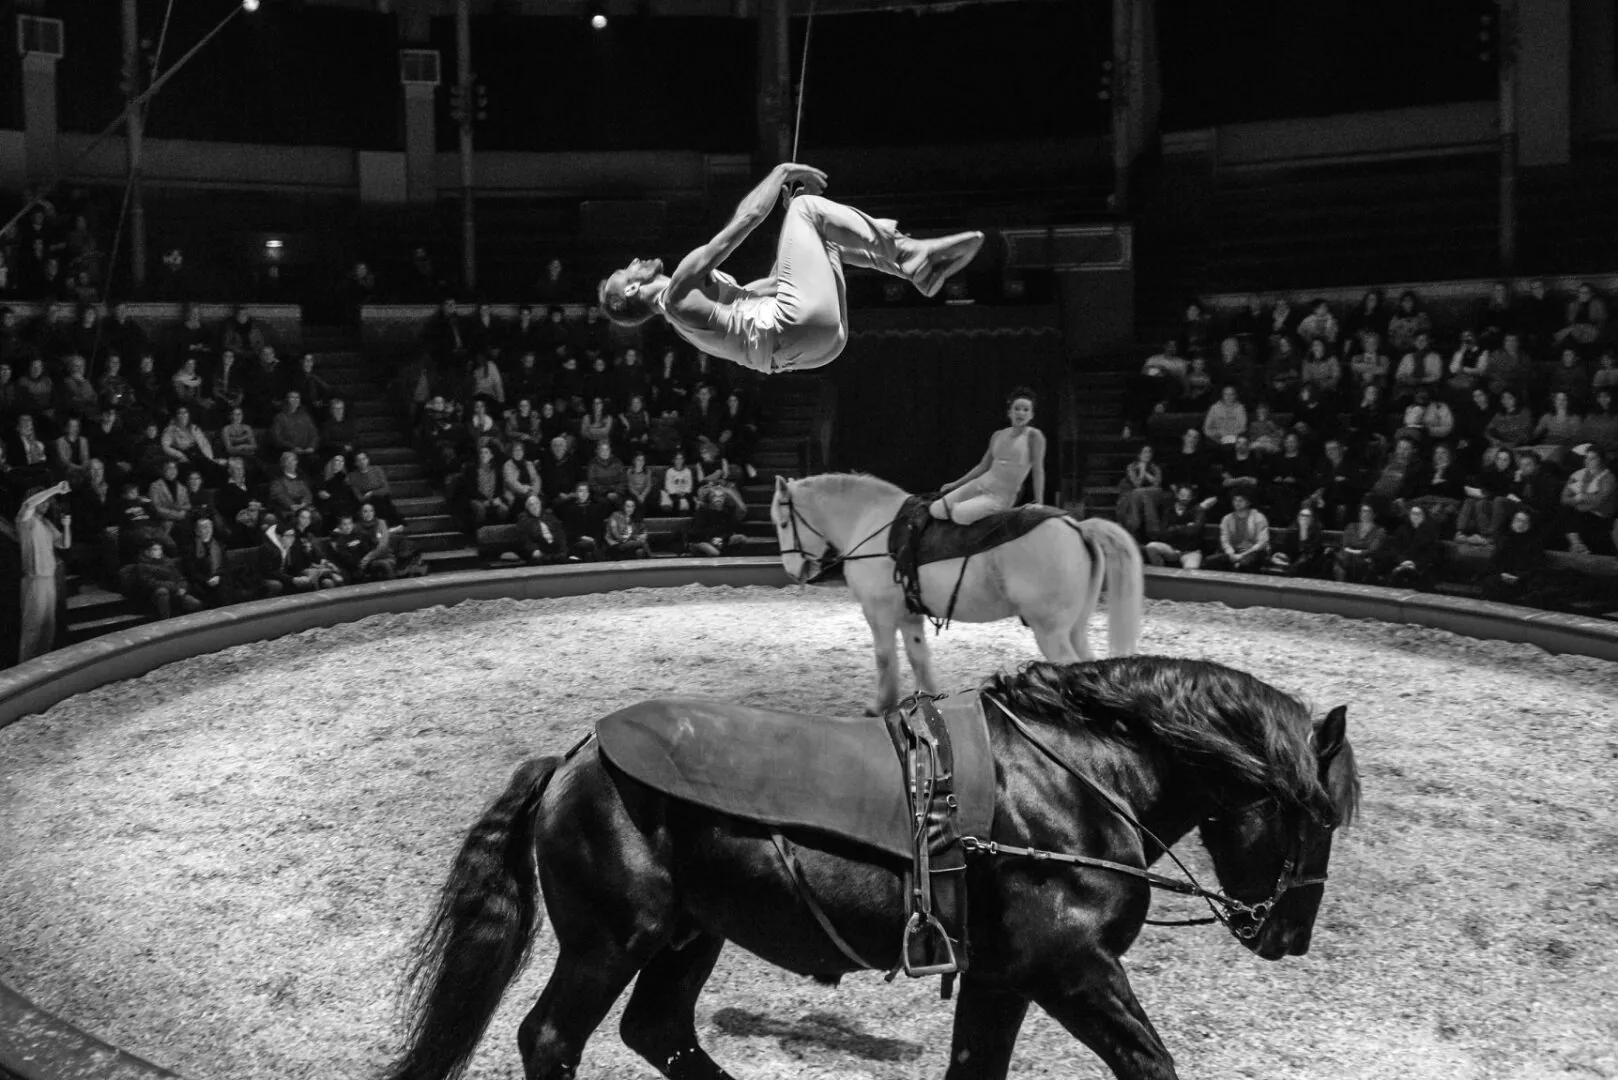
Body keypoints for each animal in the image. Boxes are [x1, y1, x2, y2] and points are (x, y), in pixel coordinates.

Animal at [385, 654, 1359, 1080]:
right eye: (1320, 819)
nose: (1291, 936)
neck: (1074, 782)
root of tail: (576, 755)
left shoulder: (1002, 979)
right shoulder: (1074, 971)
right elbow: (1152, 1065)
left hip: (688, 936)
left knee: (658, 1032)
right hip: (611, 942)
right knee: (550, 1039)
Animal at [766, 476, 1139, 712]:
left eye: (783, 523)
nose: (793, 570)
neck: (870, 523)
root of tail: (1077, 526)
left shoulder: (878, 613)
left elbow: (885, 658)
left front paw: (879, 706)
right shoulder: (909, 616)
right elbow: (918, 658)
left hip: (1051, 633)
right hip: (1075, 629)